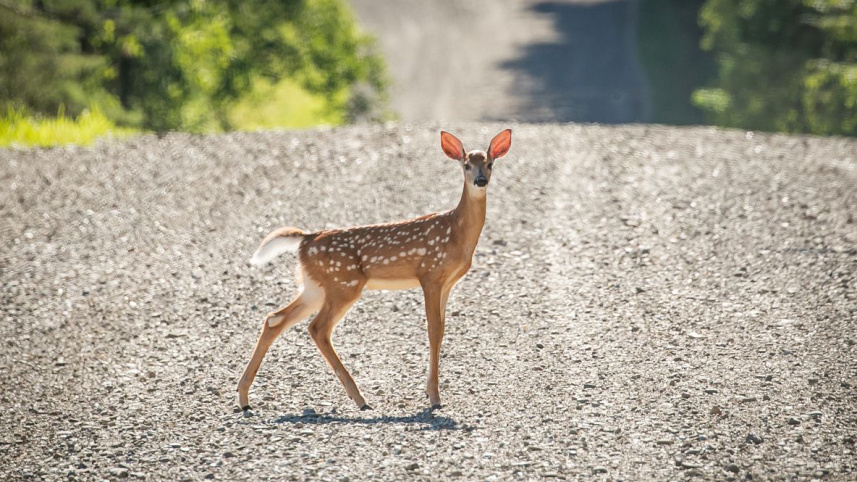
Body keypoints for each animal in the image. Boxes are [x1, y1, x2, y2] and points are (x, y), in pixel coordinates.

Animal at [237, 129, 512, 411]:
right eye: (465, 165)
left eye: (490, 163)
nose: (480, 180)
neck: (456, 233)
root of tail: (305, 239)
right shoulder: (429, 274)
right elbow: (434, 330)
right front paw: (435, 397)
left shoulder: (447, 282)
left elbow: (442, 328)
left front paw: (430, 391)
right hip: (343, 284)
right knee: (317, 328)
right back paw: (360, 398)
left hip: (315, 286)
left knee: (275, 319)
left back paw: (244, 398)